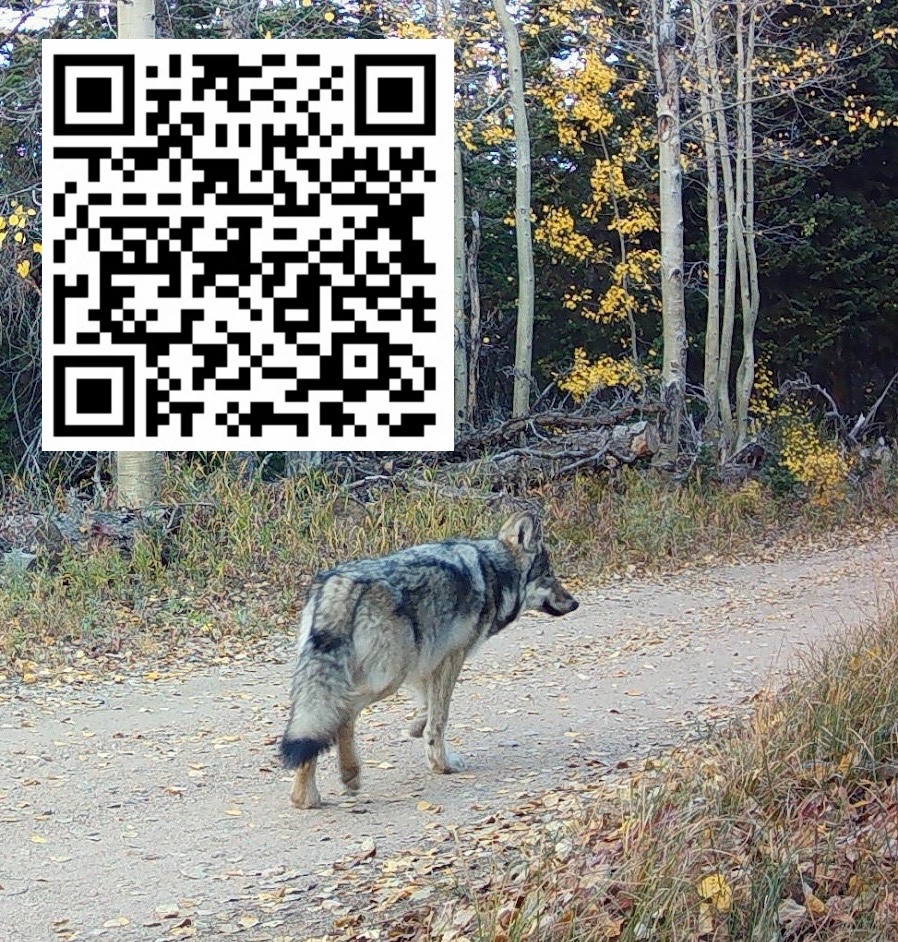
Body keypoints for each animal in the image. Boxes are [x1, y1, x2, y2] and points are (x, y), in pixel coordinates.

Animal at [279, 511, 579, 808]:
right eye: (549, 576)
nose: (575, 603)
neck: (494, 572)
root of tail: (339, 583)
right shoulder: (451, 657)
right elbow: (440, 717)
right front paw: (442, 764)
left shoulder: (426, 664)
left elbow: (428, 707)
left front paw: (416, 728)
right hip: (387, 679)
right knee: (341, 716)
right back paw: (344, 777)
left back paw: (305, 795)